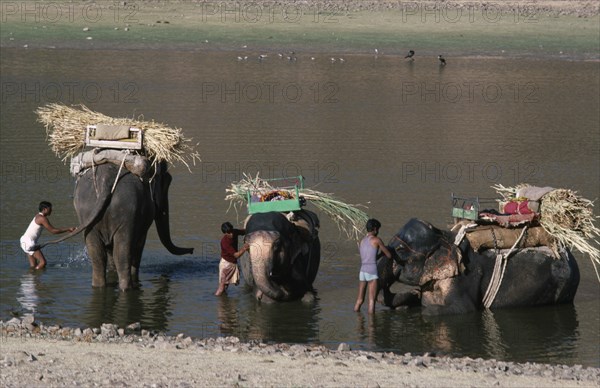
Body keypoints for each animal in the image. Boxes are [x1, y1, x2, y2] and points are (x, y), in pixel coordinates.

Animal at [48, 161, 192, 292]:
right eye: (168, 181)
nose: (191, 250)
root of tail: (106, 182)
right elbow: (138, 247)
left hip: (87, 215)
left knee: (98, 257)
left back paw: (99, 286)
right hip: (127, 214)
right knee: (122, 256)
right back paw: (127, 289)